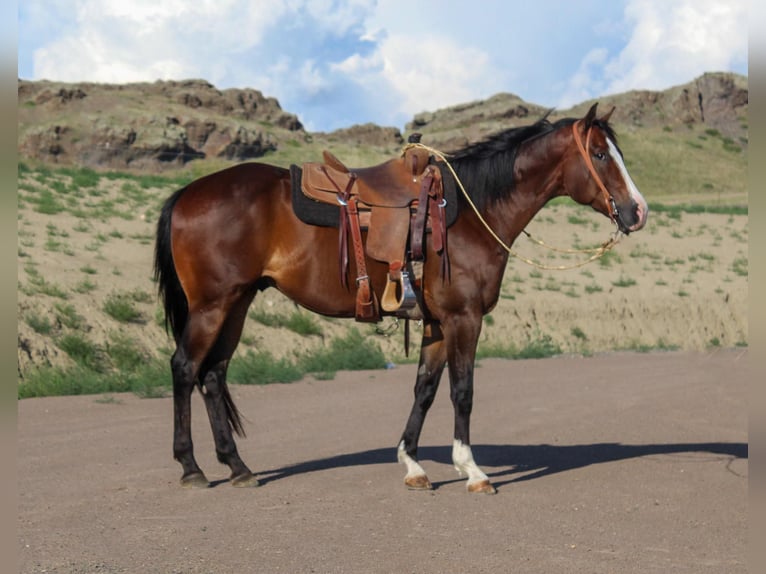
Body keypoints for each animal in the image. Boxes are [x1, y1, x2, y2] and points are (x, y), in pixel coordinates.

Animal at [154, 103, 648, 496]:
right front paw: (472, 471)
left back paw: (237, 466)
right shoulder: (464, 319)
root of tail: (187, 193)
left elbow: (424, 389)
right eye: (600, 154)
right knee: (185, 368)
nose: (638, 211)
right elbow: (462, 391)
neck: (472, 215)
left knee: (213, 375)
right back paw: (192, 467)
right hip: (212, 305)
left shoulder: (436, 322)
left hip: (236, 303)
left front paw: (412, 464)